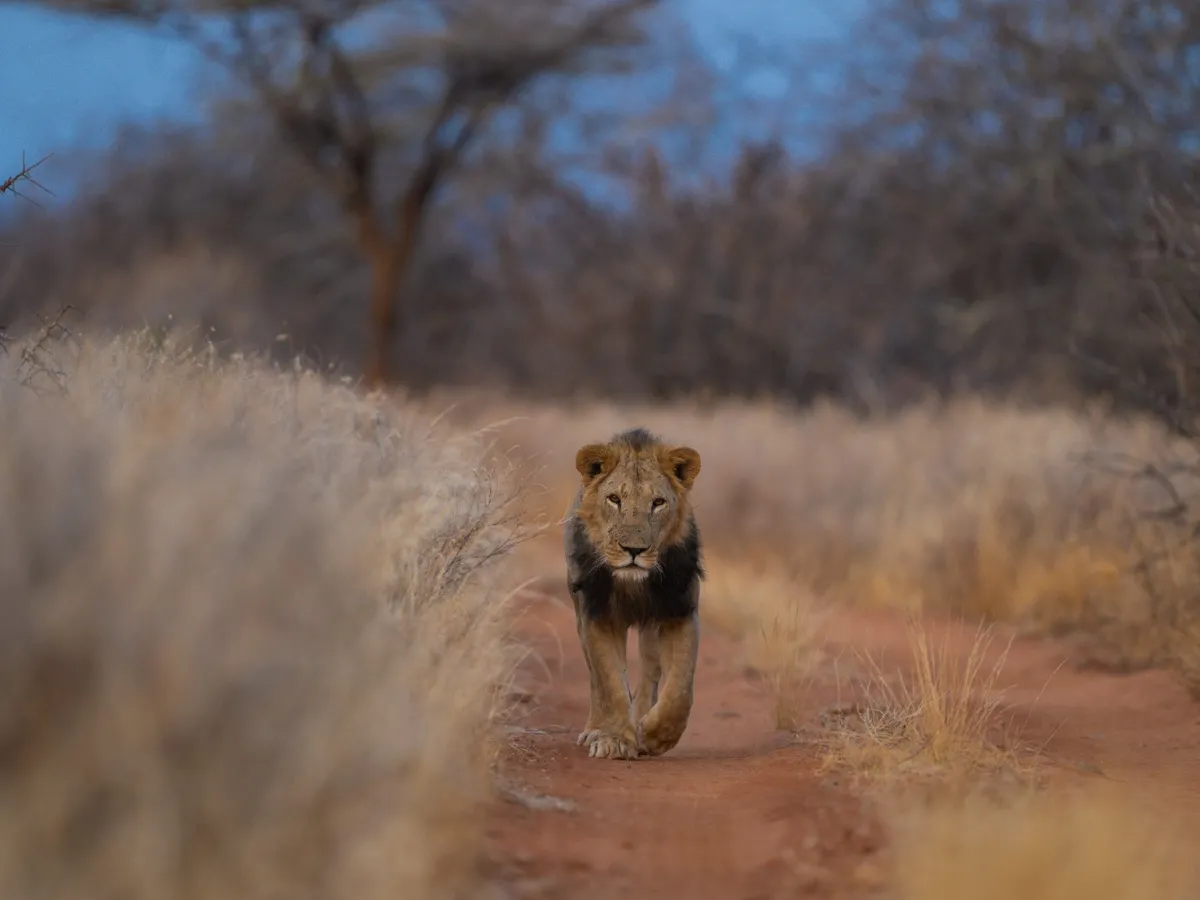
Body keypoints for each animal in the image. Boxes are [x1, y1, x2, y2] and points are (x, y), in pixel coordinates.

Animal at [563, 427, 703, 760]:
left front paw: (656, 736)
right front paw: (613, 739)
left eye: (658, 502)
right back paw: (596, 729)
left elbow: (680, 688)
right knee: (596, 678)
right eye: (614, 499)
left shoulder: (680, 612)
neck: (632, 583)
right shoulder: (597, 615)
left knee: (650, 672)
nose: (634, 550)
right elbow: (610, 681)